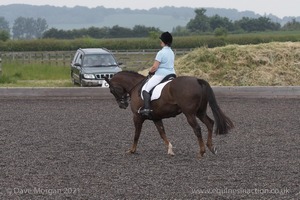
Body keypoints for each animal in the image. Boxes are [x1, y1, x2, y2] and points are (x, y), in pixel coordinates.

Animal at [104, 70, 233, 158]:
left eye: (111, 90)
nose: (123, 105)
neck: (135, 86)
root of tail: (197, 80)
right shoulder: (156, 118)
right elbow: (162, 133)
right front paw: (170, 150)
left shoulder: (137, 117)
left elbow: (136, 134)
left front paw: (132, 150)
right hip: (200, 112)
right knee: (210, 123)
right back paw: (211, 147)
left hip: (189, 113)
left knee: (197, 128)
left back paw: (201, 152)